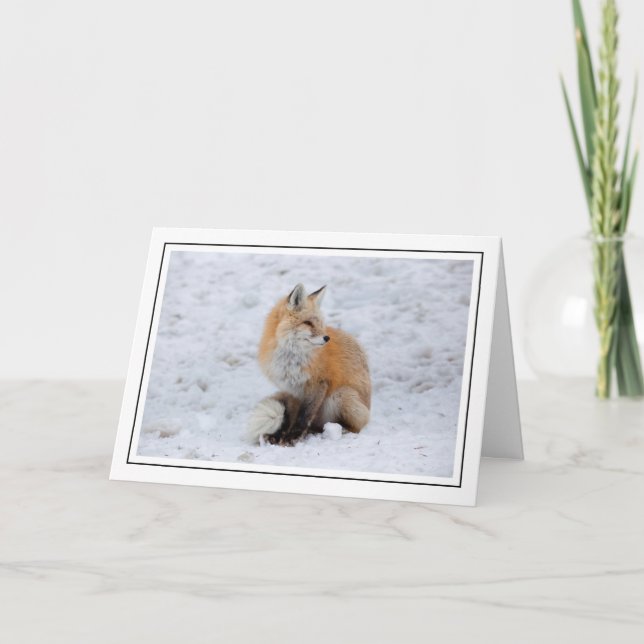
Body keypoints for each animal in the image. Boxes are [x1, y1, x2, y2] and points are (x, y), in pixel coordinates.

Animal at [247, 283, 371, 446]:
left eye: (320, 324)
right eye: (308, 323)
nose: (327, 338)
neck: (291, 361)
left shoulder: (318, 384)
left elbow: (304, 416)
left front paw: (293, 437)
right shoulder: (290, 390)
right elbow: (290, 416)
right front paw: (280, 435)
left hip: (341, 395)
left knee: (355, 427)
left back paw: (335, 430)